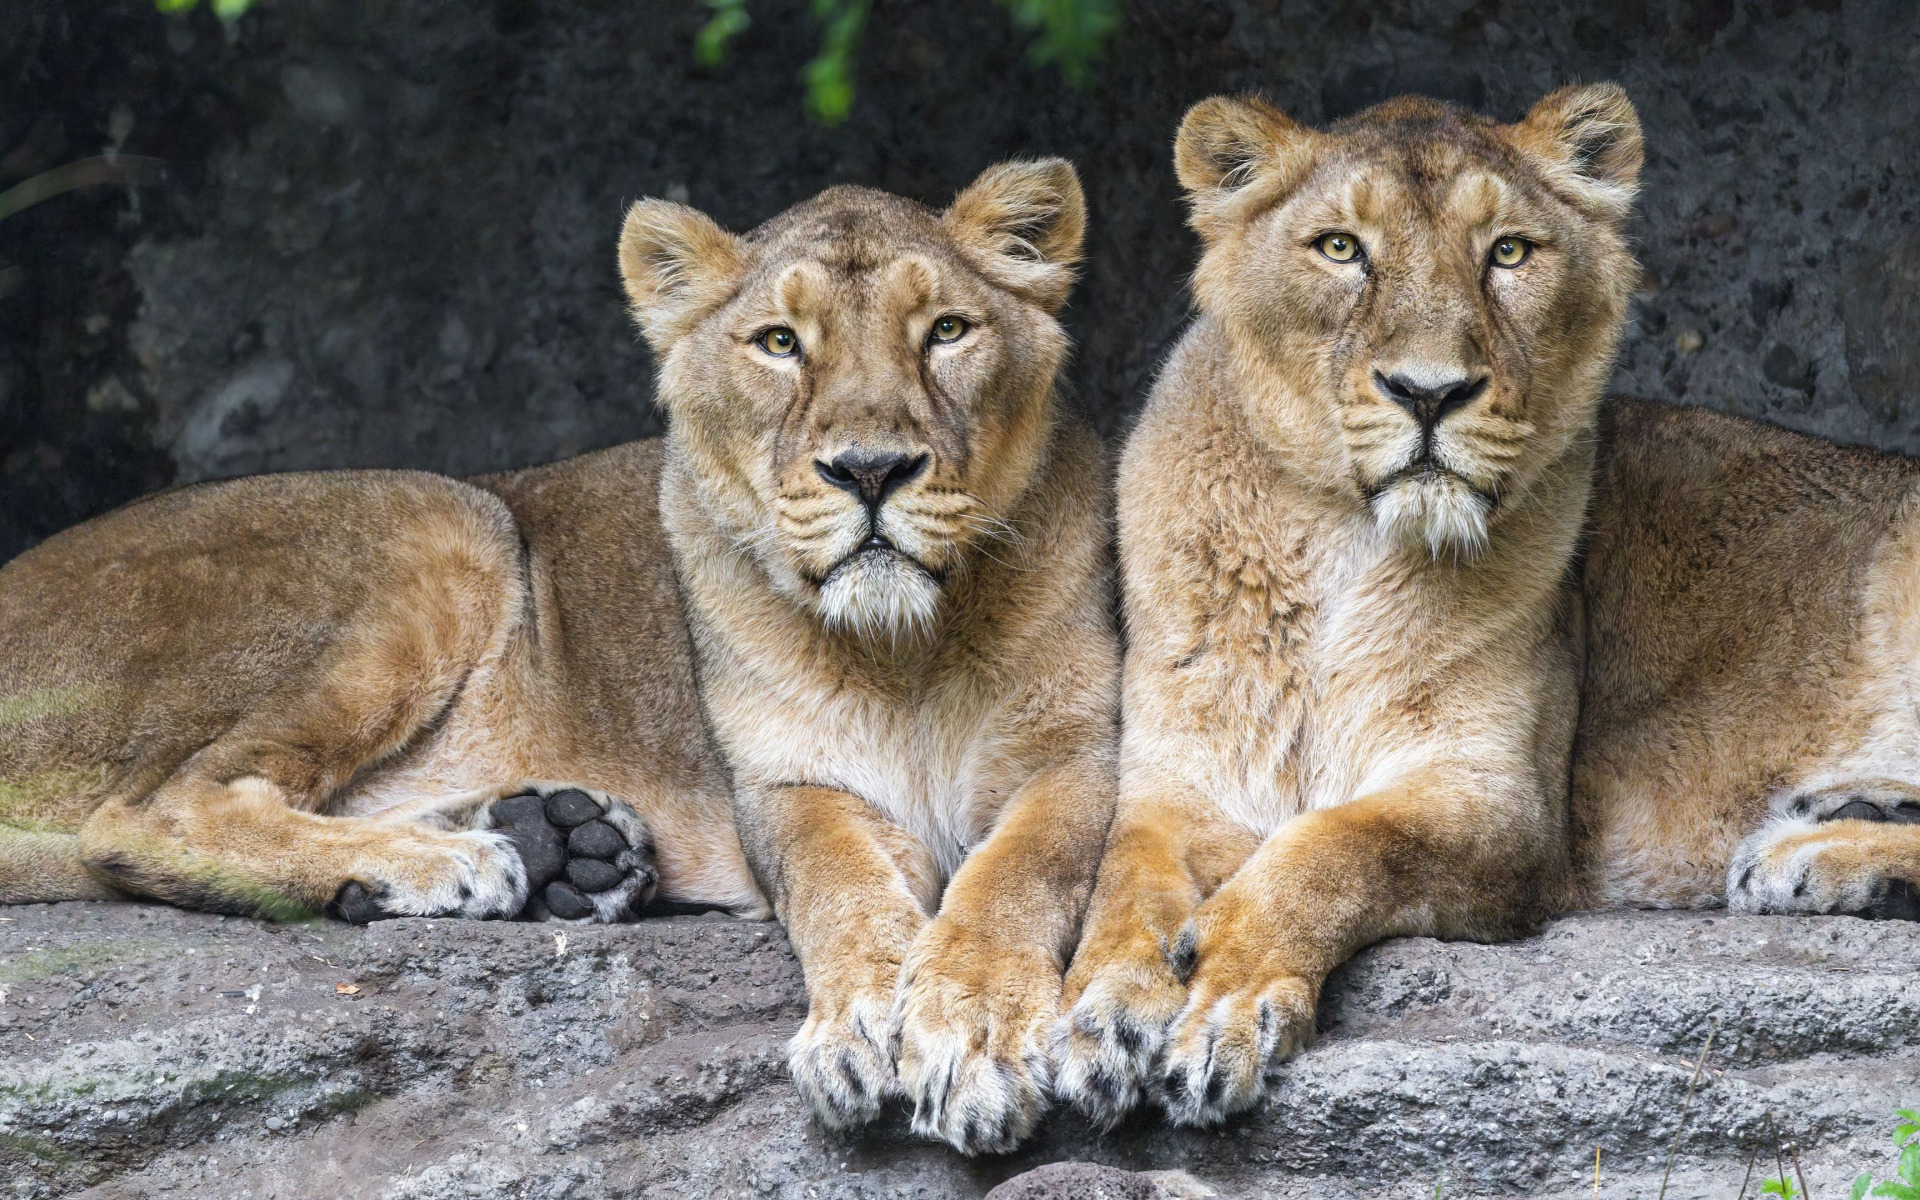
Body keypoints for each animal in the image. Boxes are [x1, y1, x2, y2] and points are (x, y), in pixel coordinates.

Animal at [0, 161, 1119, 1156]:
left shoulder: (1083, 758)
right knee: (156, 810)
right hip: (447, 513)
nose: (872, 470)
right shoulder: (788, 787)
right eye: (779, 343)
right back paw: (462, 863)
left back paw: (562, 849)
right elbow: (840, 892)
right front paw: (869, 1027)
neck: (907, 650)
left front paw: (968, 1034)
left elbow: (1015, 879)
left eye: (947, 331)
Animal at [1052, 84, 1919, 1132]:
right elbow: (1124, 884)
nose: (1430, 394)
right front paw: (1107, 1013)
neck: (1338, 547)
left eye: (1508, 252)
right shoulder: (1179, 784)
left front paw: (1225, 993)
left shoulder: (1503, 803)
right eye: (1340, 248)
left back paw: (1807, 854)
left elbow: (1339, 845)